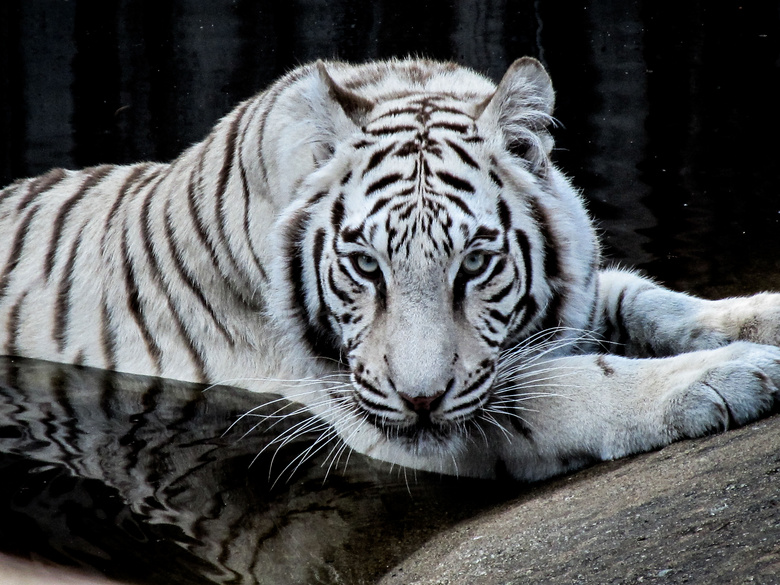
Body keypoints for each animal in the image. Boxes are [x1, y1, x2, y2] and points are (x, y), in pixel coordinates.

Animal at [1, 57, 780, 480]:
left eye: (475, 262)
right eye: (365, 266)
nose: (421, 400)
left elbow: (652, 301)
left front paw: (759, 319)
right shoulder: (363, 406)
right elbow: (574, 384)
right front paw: (729, 376)